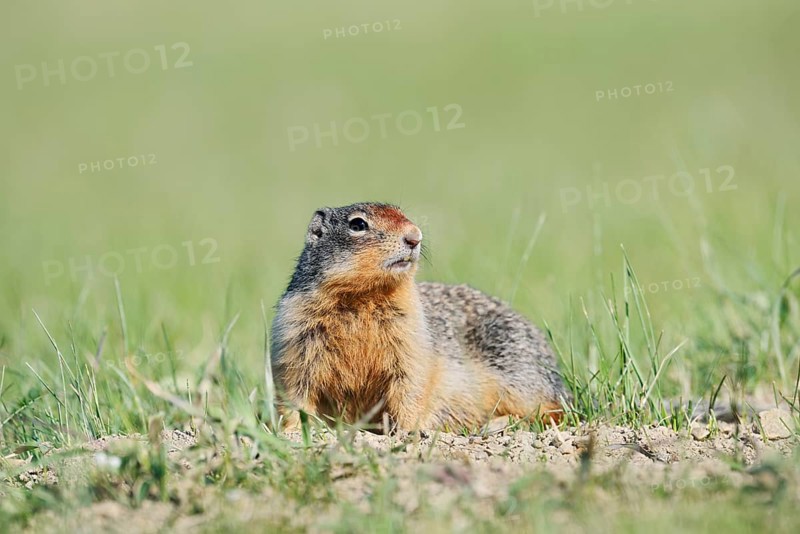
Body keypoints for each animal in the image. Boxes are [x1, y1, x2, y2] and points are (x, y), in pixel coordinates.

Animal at [270, 202, 568, 431]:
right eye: (358, 224)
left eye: (403, 213)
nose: (415, 236)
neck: (364, 297)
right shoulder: (295, 336)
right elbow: (294, 392)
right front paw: (295, 433)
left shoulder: (411, 337)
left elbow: (411, 385)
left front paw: (408, 431)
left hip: (518, 372)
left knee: (556, 410)